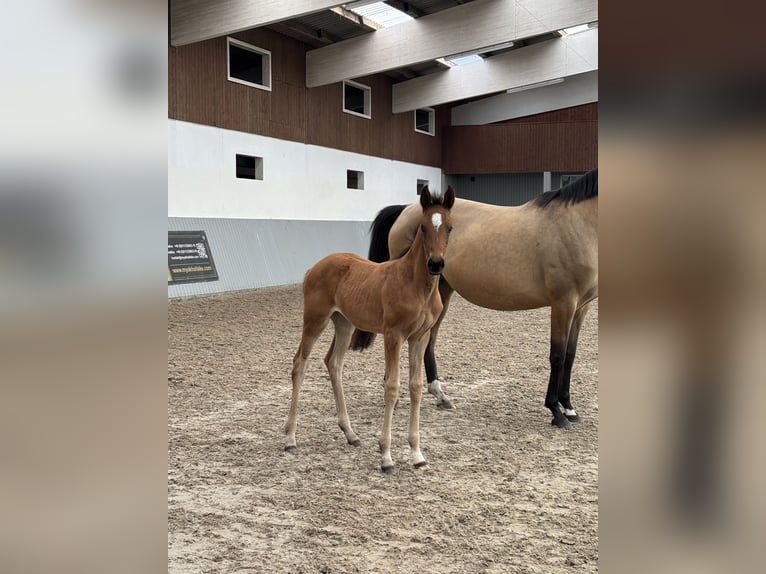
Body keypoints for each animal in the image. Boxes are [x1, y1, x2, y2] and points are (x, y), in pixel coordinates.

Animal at [285, 185, 456, 473]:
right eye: (422, 227)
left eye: (450, 227)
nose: (436, 264)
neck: (415, 284)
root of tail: (314, 267)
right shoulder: (393, 335)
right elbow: (392, 387)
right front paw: (386, 456)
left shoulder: (418, 338)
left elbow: (416, 387)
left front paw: (416, 454)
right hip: (315, 320)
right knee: (300, 363)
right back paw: (290, 437)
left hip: (344, 323)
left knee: (333, 363)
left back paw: (350, 433)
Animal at [352, 169, 597, 429]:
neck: (576, 224)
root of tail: (405, 208)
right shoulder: (563, 303)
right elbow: (557, 355)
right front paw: (556, 411)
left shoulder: (580, 307)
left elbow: (570, 355)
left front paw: (569, 408)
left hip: (441, 291)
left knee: (429, 340)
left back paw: (440, 395)